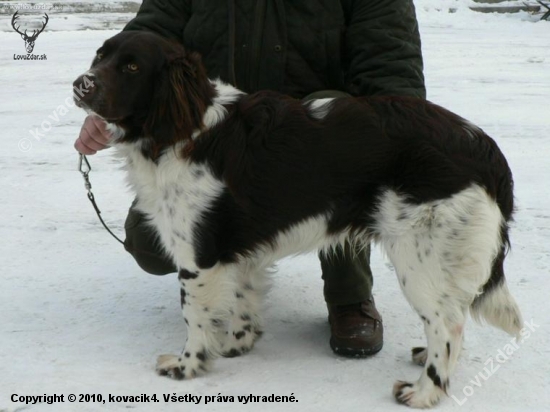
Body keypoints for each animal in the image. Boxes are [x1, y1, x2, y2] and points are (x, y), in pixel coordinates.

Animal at [74, 30, 528, 408]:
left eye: (132, 67)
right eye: (100, 55)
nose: (81, 84)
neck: (181, 129)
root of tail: (485, 149)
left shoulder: (198, 257)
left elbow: (195, 317)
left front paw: (187, 366)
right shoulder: (238, 251)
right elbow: (243, 300)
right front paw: (238, 344)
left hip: (420, 257)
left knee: (448, 326)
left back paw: (423, 392)